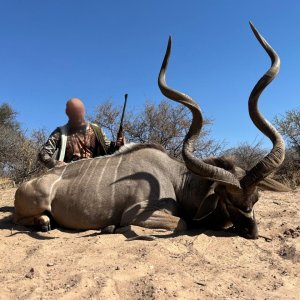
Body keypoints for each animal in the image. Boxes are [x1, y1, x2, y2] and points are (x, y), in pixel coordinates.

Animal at [13, 22, 286, 239]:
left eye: (256, 198)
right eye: (228, 198)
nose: (251, 232)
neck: (176, 179)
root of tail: (25, 185)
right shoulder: (138, 213)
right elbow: (181, 223)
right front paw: (112, 227)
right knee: (22, 219)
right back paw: (45, 222)